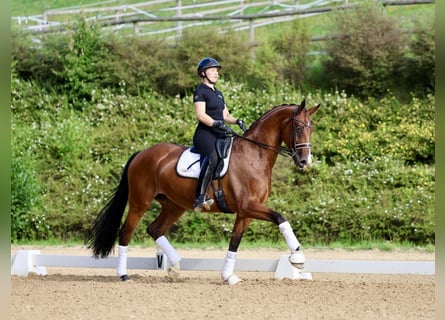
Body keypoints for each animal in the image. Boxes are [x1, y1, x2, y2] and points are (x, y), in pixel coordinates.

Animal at [83, 99, 320, 284]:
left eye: (312, 127)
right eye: (299, 127)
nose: (305, 161)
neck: (255, 154)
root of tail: (141, 153)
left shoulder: (245, 212)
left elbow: (235, 242)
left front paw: (228, 276)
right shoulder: (249, 206)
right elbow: (281, 218)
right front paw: (297, 258)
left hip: (174, 205)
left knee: (155, 229)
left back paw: (175, 267)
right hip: (140, 202)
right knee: (126, 233)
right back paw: (124, 275)